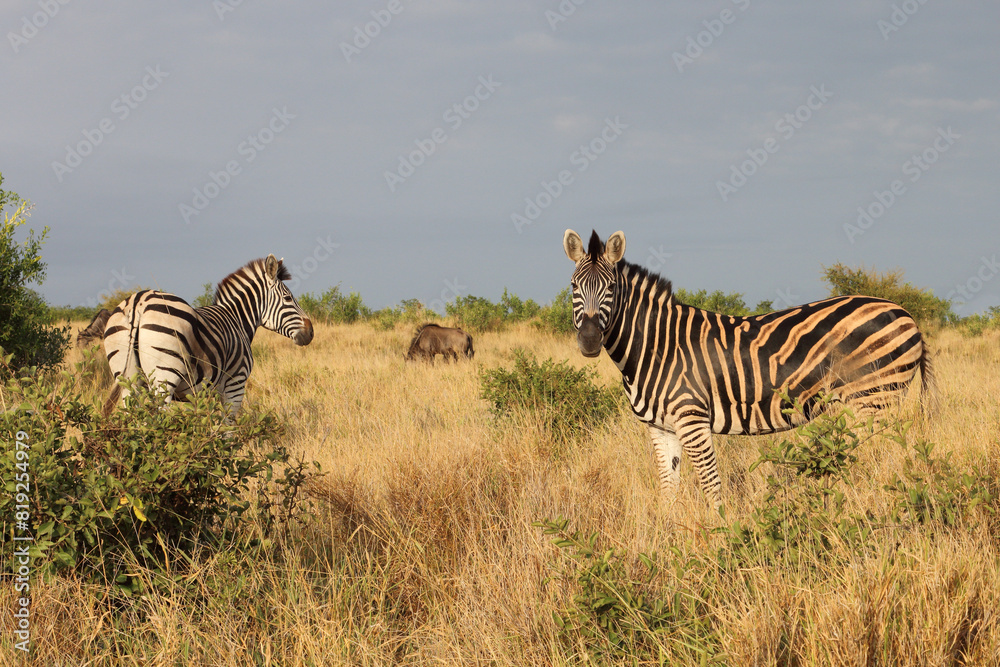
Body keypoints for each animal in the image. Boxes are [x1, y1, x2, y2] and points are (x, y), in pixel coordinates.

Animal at [102, 254, 313, 416]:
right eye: (288, 298)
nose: (311, 332)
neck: (237, 318)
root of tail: (138, 301)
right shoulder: (236, 383)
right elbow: (226, 429)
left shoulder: (200, 393)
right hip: (164, 376)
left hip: (127, 378)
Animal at [563, 229, 931, 508]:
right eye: (573, 286)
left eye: (611, 288)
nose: (590, 340)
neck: (656, 346)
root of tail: (904, 312)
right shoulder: (660, 427)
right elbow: (668, 488)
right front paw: (666, 541)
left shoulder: (692, 419)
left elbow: (711, 485)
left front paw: (720, 540)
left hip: (874, 398)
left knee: (883, 461)